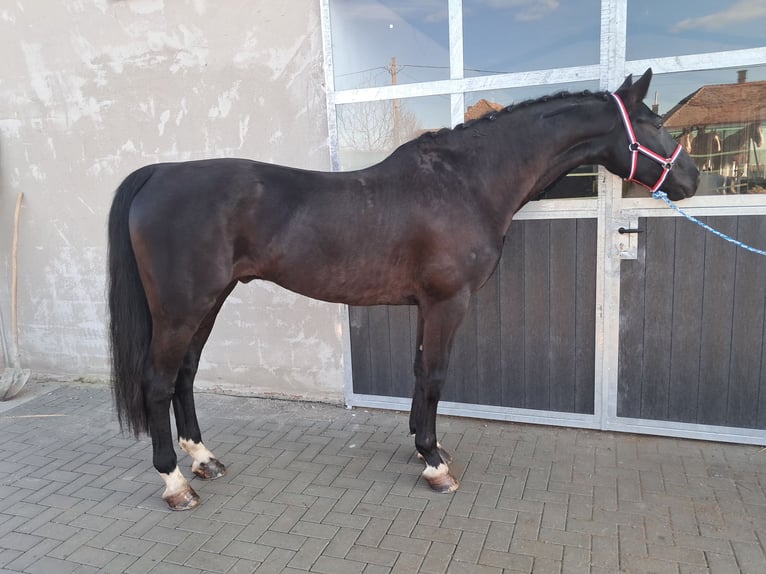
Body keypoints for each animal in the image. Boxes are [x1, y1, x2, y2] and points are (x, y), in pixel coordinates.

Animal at [108, 68, 699, 510]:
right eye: (655, 125)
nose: (692, 179)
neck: (464, 182)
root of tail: (158, 174)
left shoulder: (426, 306)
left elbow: (418, 372)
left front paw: (422, 448)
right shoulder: (448, 303)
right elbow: (435, 375)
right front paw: (435, 464)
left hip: (210, 301)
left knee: (185, 375)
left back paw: (204, 460)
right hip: (182, 308)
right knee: (158, 383)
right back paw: (175, 483)